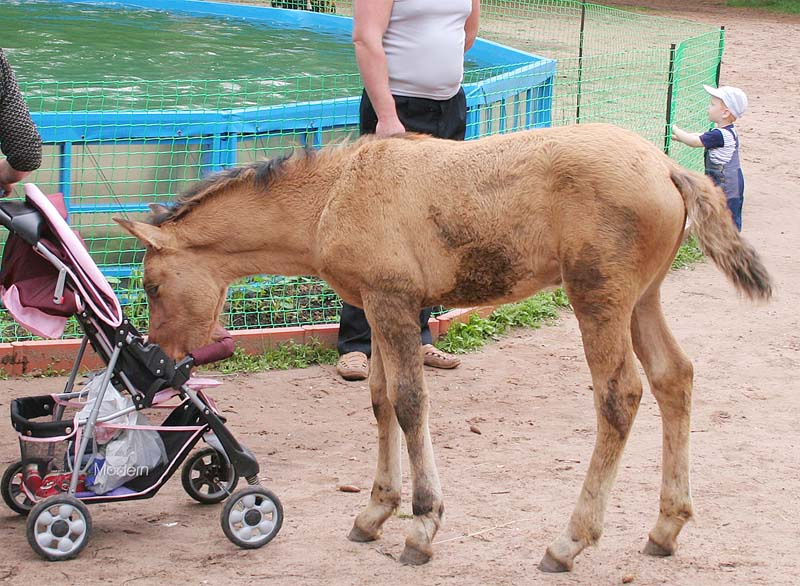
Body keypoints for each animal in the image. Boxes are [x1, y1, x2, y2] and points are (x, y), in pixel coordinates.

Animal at [115, 123, 772, 572]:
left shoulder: (394, 303)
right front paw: (374, 513)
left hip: (599, 297)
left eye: (151, 285)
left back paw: (568, 541)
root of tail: (666, 167)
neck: (333, 195)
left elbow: (409, 403)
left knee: (620, 395)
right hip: (643, 298)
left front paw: (422, 526)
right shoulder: (377, 307)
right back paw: (665, 528)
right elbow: (379, 399)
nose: (158, 365)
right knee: (674, 377)